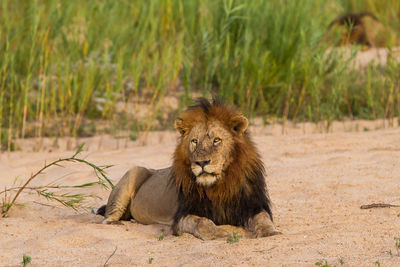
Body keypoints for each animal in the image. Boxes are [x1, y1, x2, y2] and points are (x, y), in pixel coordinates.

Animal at [95, 99, 280, 241]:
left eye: (216, 140)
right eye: (194, 141)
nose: (201, 162)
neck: (219, 186)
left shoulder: (252, 206)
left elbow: (263, 219)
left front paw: (270, 232)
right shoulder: (182, 215)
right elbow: (203, 222)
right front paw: (220, 233)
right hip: (133, 172)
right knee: (107, 218)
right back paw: (117, 222)